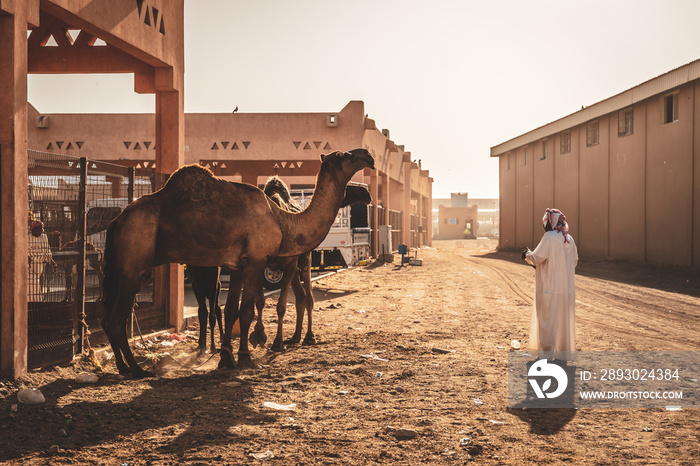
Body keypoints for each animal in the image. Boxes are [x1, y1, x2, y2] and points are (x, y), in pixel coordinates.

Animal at [102, 149, 374, 378]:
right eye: (346, 156)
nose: (368, 156)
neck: (282, 219)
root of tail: (116, 222)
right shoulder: (255, 261)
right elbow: (247, 310)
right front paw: (246, 356)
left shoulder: (237, 266)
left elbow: (231, 309)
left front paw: (226, 359)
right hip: (133, 261)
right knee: (116, 319)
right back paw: (136, 369)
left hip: (124, 268)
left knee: (111, 319)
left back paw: (123, 367)